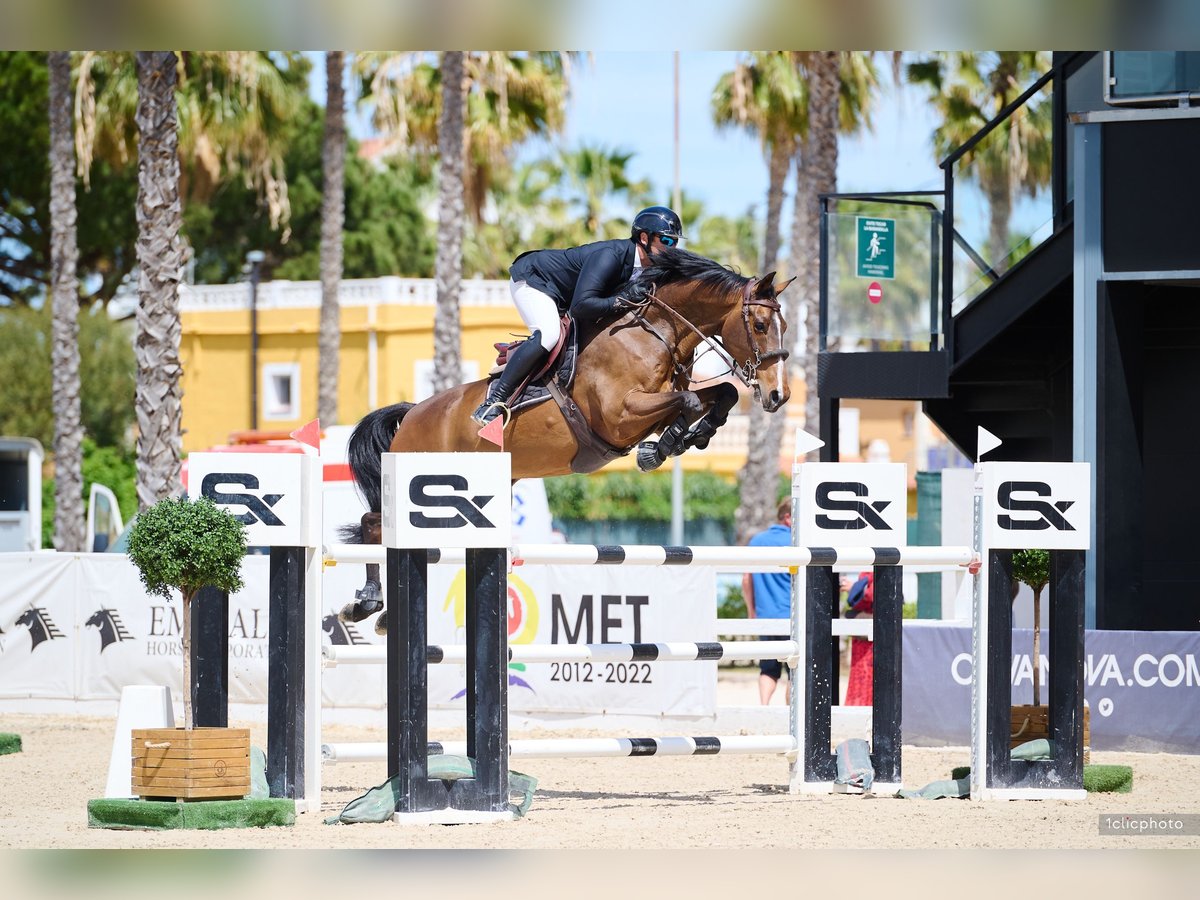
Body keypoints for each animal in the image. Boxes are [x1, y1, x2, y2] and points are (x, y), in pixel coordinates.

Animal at [338, 247, 794, 631]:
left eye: (784, 327)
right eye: (759, 325)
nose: (778, 395)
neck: (654, 334)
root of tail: (412, 413)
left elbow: (722, 394)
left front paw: (684, 439)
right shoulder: (620, 414)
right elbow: (689, 400)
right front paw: (662, 447)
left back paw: (380, 612)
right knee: (374, 523)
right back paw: (367, 602)